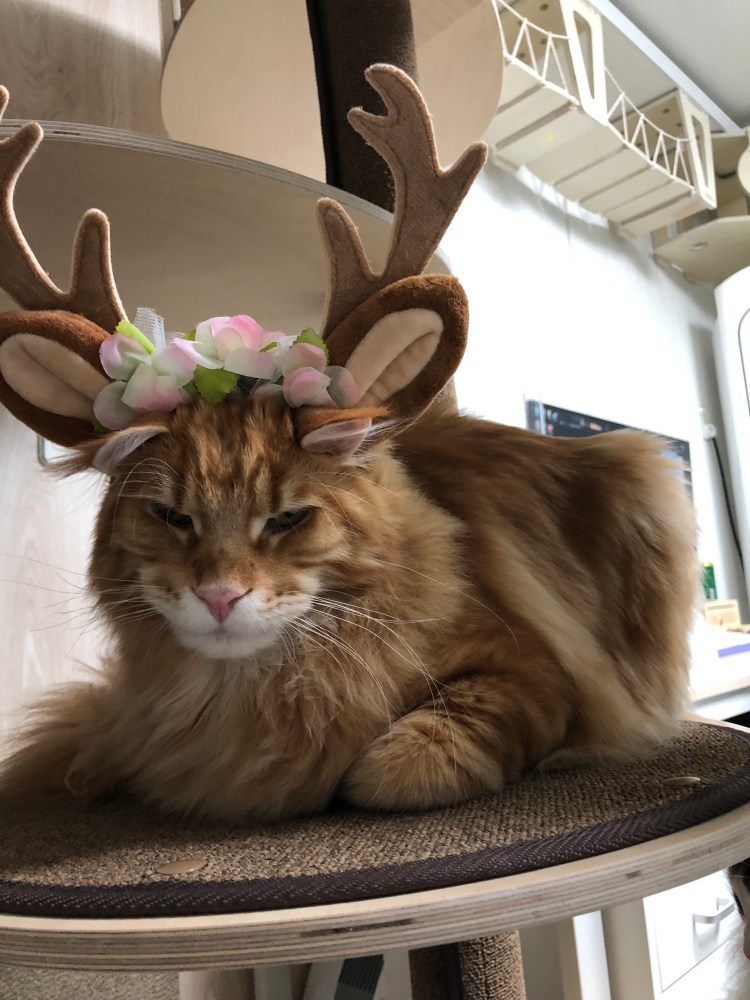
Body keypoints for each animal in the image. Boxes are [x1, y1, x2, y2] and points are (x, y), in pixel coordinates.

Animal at [0, 393, 698, 822]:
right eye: (172, 517)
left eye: (287, 520)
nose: (220, 595)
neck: (252, 691)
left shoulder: (528, 671)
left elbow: (396, 764)